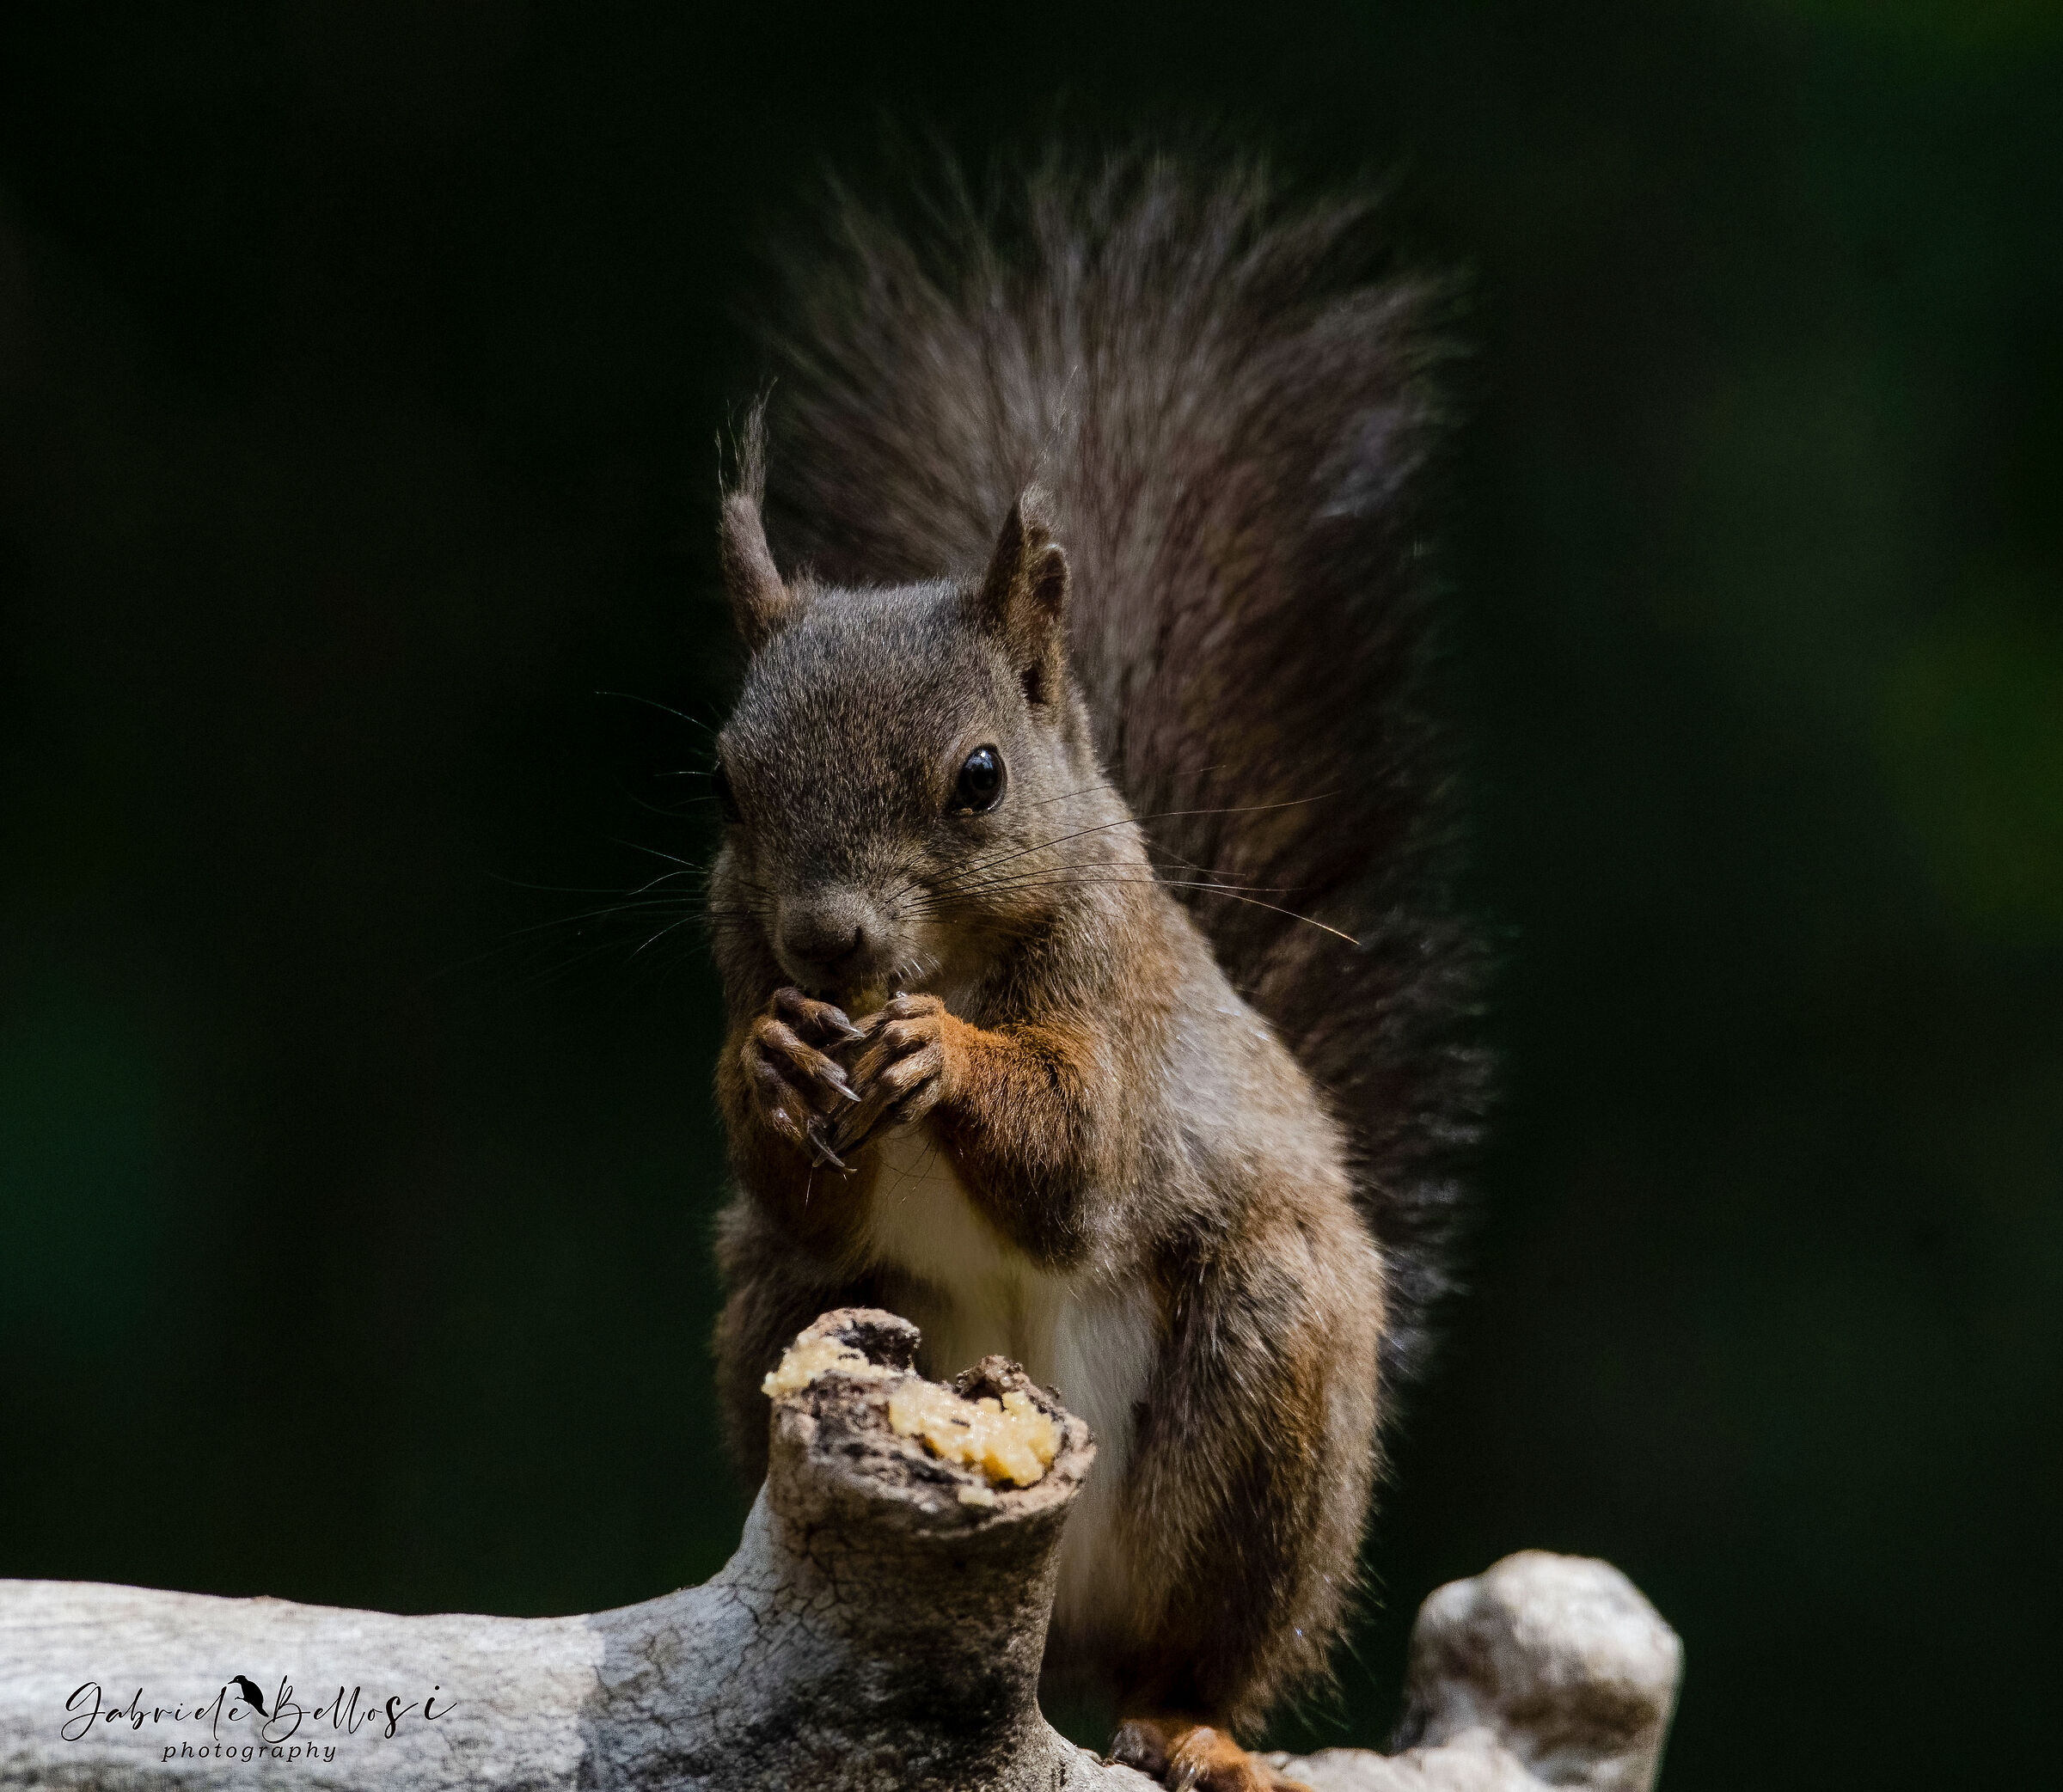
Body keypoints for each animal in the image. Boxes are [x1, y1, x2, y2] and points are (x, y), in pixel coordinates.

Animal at [704, 151, 1486, 1792]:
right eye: (723, 786)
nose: (826, 943)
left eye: (980, 778)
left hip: (1266, 1381)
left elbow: (1081, 1161)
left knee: (1190, 1650)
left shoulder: (1120, 1003)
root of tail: (1050, 1643)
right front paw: (774, 1061)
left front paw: (946, 1056)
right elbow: (795, 1170)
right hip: (781, 1312)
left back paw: (1192, 1722)